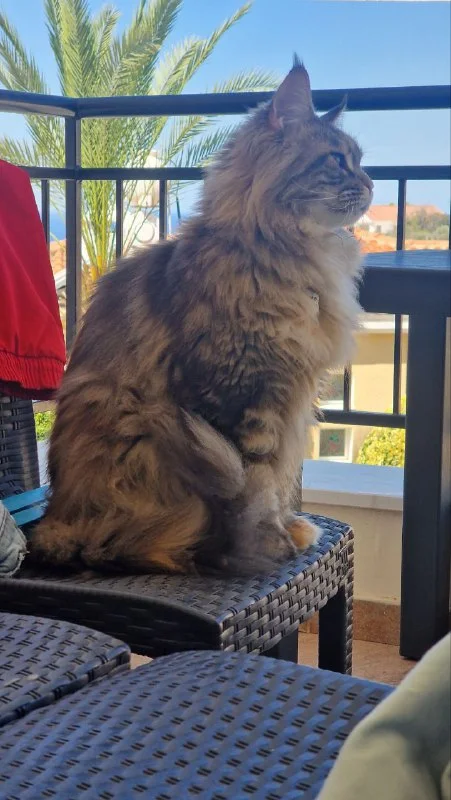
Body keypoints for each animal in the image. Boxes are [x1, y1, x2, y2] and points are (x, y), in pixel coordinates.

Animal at [32, 58, 372, 575]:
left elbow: (277, 486)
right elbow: (254, 488)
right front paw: (263, 547)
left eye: (360, 160)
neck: (280, 257)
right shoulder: (240, 395)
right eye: (337, 160)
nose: (372, 184)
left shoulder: (287, 399)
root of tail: (56, 524)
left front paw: (287, 530)